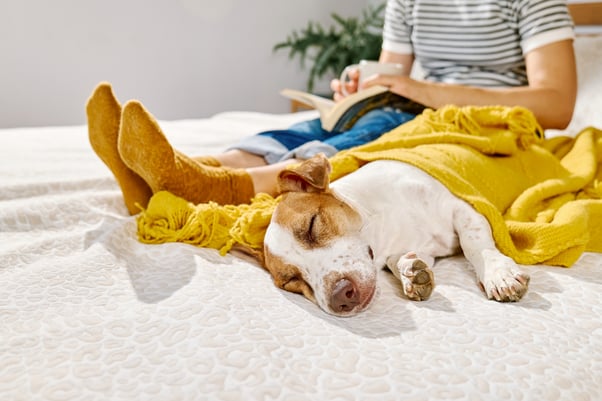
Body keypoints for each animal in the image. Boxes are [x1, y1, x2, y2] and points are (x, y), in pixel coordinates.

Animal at [260, 153, 528, 316]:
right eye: (292, 281)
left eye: (312, 225)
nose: (340, 297)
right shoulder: (418, 249)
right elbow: (401, 261)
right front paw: (412, 273)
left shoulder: (461, 207)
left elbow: (475, 244)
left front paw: (499, 273)